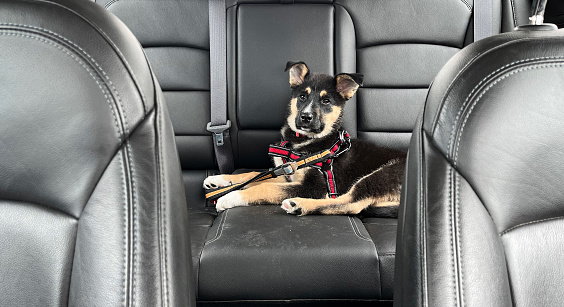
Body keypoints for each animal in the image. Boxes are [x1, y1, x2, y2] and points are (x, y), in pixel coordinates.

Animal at [203, 62, 406, 217]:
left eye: (326, 101)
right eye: (302, 96)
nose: (305, 117)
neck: (302, 141)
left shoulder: (314, 187)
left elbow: (264, 187)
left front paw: (230, 197)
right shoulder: (286, 175)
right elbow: (253, 175)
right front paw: (219, 180)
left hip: (381, 175)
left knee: (351, 204)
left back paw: (298, 205)